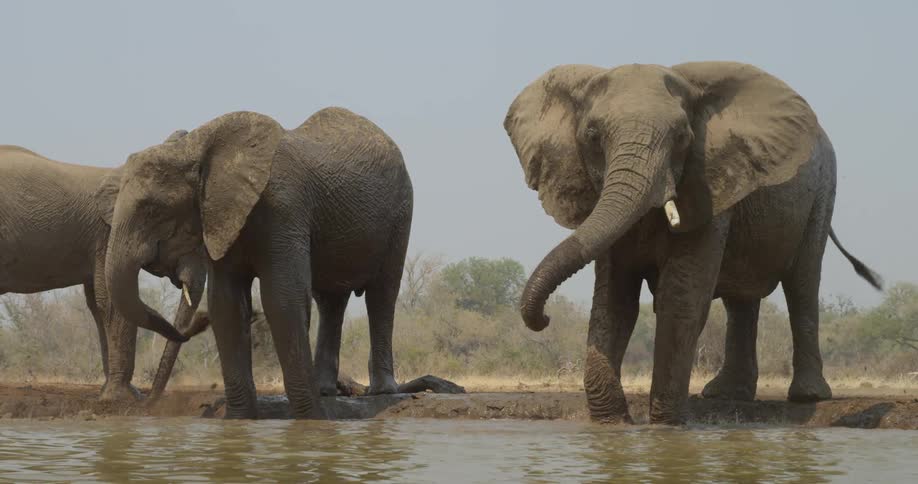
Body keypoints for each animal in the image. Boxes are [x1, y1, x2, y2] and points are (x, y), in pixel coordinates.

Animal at [0, 139, 204, 402]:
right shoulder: (107, 232)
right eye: (190, 238)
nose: (150, 400)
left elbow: (98, 305)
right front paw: (123, 398)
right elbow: (111, 302)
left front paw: (113, 394)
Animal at [103, 107, 413, 419]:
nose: (199, 321)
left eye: (153, 210)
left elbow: (282, 299)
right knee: (330, 302)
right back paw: (326, 389)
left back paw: (382, 392)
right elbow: (227, 306)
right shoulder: (223, 219)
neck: (197, 148)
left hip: (401, 214)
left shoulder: (283, 210)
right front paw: (239, 420)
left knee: (382, 295)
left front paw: (312, 420)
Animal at [503, 61, 882, 424]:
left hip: (823, 190)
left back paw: (807, 396)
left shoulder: (709, 188)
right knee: (741, 298)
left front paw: (667, 424)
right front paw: (613, 423)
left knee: (802, 283)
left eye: (683, 137)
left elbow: (680, 297)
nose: (544, 318)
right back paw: (726, 395)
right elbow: (614, 301)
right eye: (593, 136)